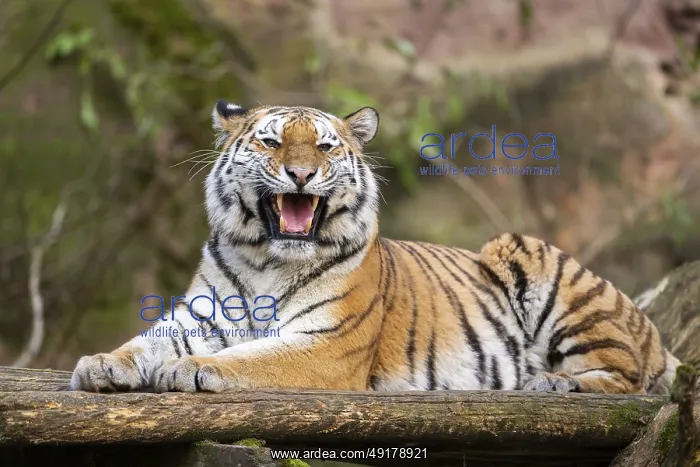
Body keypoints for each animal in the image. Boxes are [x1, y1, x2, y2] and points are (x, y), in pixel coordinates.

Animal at [70, 100, 681, 394]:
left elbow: (250, 357)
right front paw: (101, 364)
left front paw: (191, 369)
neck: (268, 258)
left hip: (530, 256)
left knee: (624, 376)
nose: (300, 173)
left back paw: (550, 381)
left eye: (323, 147)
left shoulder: (326, 345)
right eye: (271, 142)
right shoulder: (199, 317)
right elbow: (145, 342)